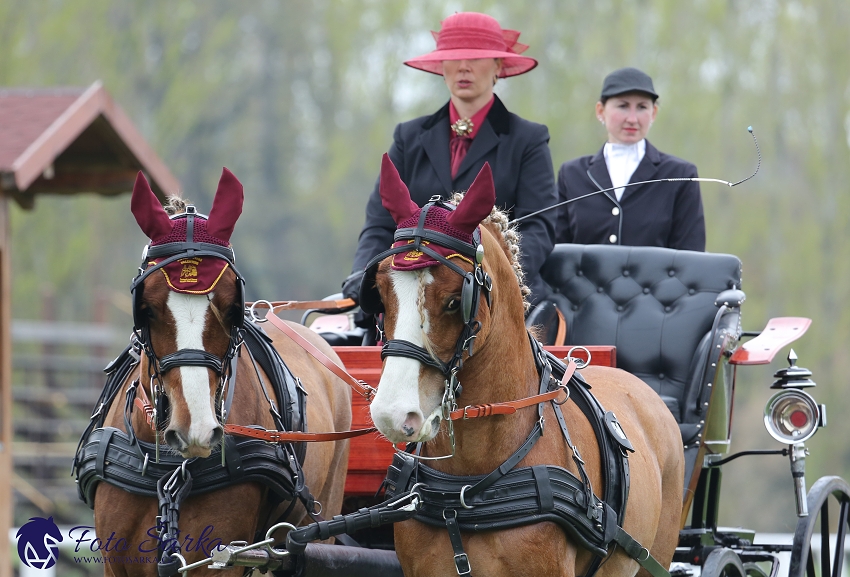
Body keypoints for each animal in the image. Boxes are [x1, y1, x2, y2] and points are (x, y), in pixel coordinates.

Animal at [88, 169, 348, 572]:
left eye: (231, 308)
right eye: (146, 308)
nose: (194, 428)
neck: (170, 471)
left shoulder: (222, 558)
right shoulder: (117, 562)